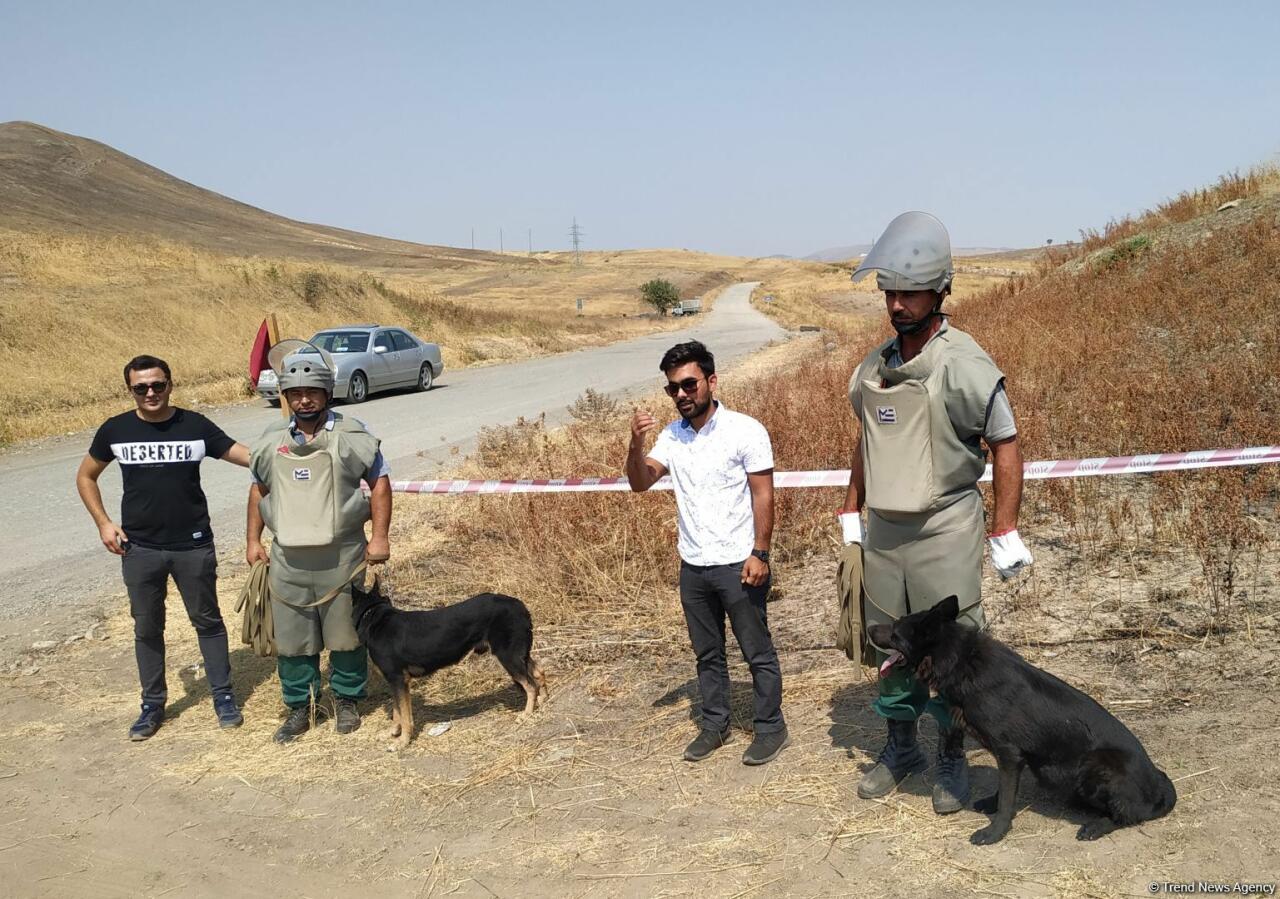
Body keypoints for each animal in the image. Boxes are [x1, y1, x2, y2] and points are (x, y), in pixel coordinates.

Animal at [353, 581, 547, 747]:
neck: (374, 616)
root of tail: (520, 606)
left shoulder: (399, 680)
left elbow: (405, 716)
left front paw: (402, 742)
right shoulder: (395, 682)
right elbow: (397, 712)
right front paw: (392, 733)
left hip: (508, 656)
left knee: (530, 686)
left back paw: (526, 714)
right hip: (519, 654)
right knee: (539, 672)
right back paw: (543, 700)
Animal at [865, 599, 1172, 845]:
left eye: (895, 631)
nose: (867, 630)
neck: (961, 659)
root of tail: (1159, 783)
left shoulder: (1009, 754)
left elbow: (1007, 800)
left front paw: (995, 832)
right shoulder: (1009, 757)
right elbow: (1003, 791)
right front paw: (992, 804)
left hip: (1096, 766)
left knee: (1127, 815)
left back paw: (1096, 826)